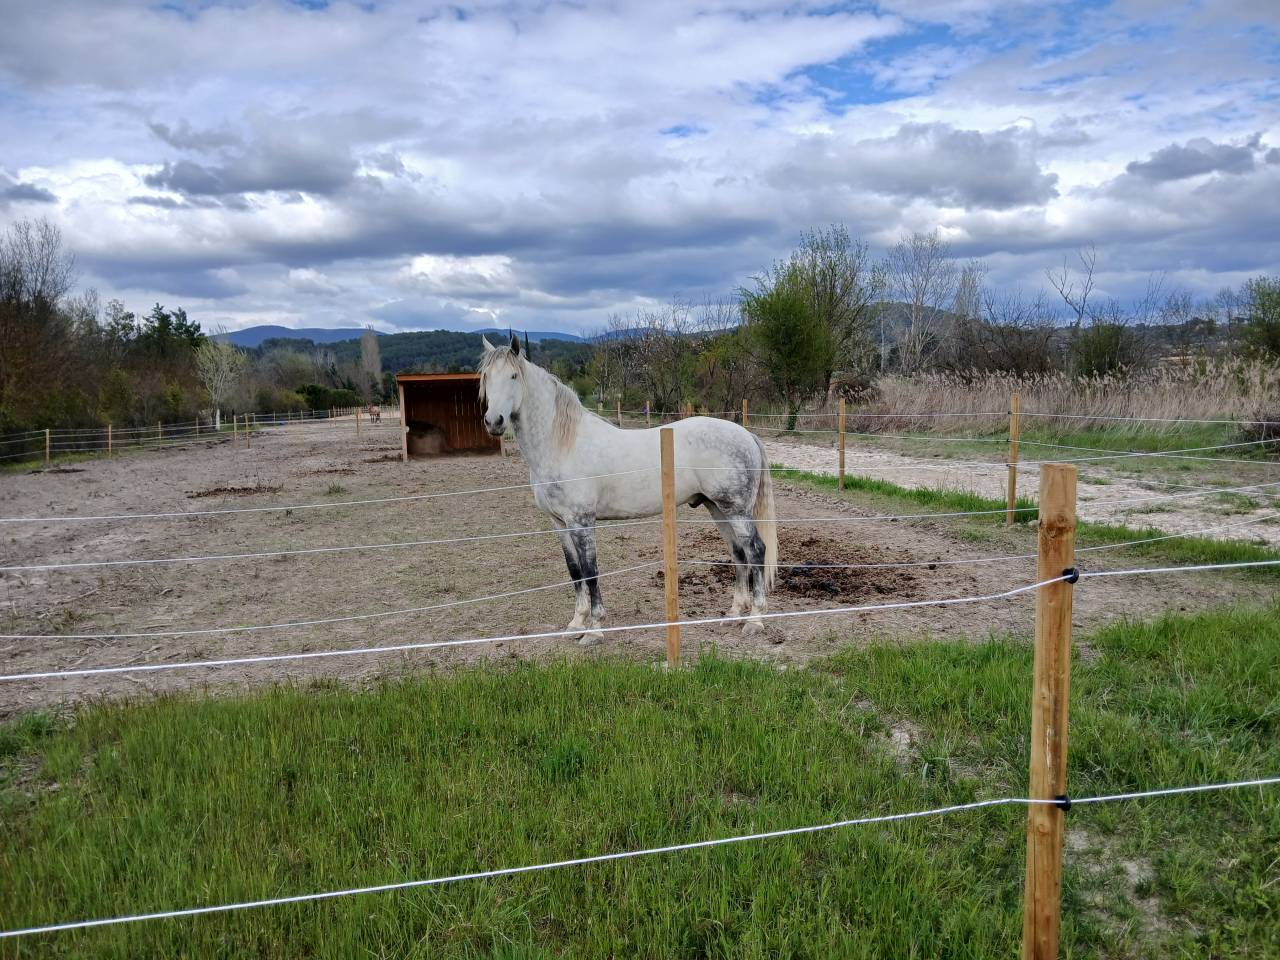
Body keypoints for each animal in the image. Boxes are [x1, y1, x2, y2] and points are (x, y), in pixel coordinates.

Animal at [478, 334, 776, 645]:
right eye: (486, 376)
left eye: (513, 376)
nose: (494, 422)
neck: (563, 445)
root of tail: (746, 435)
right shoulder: (559, 523)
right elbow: (574, 570)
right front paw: (576, 623)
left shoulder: (581, 522)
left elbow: (590, 570)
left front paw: (594, 629)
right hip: (717, 508)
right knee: (738, 552)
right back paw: (734, 613)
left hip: (736, 510)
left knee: (756, 550)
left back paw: (755, 620)